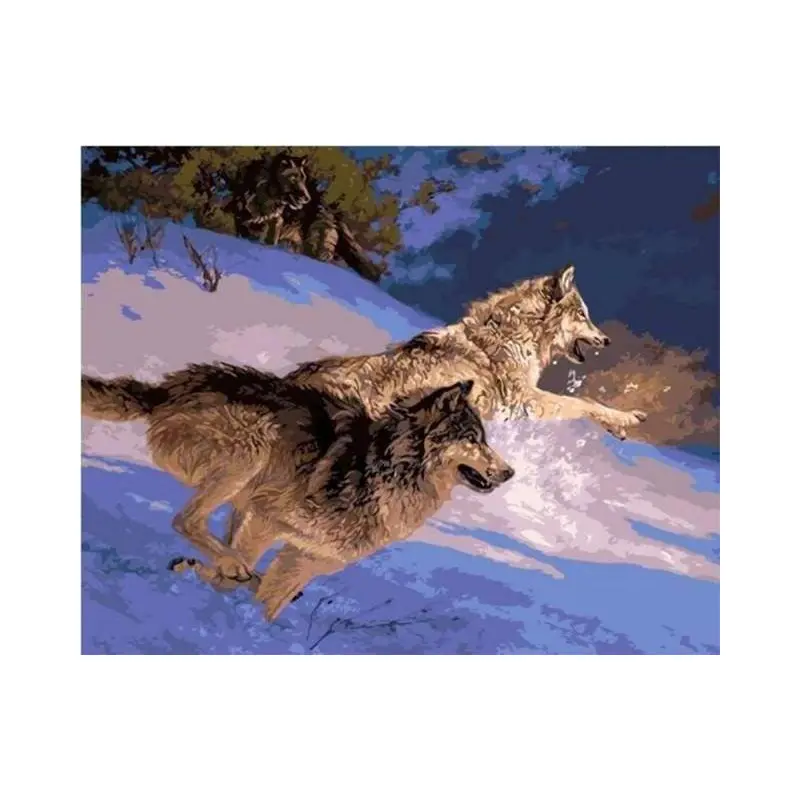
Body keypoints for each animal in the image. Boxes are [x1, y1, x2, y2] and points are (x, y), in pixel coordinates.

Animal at [82, 366, 513, 620]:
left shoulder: (305, 558)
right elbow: (236, 576)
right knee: (186, 520)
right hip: (253, 451)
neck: (388, 469)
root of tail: (168, 388)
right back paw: (228, 566)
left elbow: (271, 600)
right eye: (473, 439)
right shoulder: (267, 519)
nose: (509, 473)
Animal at [287, 263, 647, 438]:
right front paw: (627, 418)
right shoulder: (522, 402)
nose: (607, 341)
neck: (517, 335)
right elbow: (583, 402)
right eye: (583, 315)